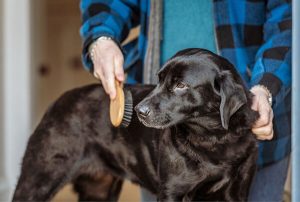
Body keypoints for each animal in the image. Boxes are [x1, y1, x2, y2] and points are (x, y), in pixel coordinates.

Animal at [12, 48, 258, 201]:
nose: (140, 111)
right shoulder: (171, 191)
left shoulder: (237, 192)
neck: (213, 139)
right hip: (38, 178)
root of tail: (57, 101)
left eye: (180, 85)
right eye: (159, 79)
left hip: (98, 189)